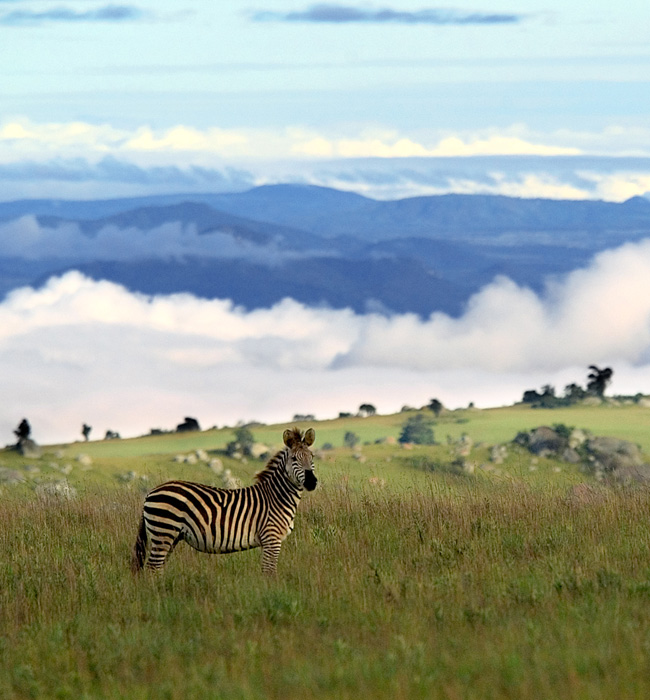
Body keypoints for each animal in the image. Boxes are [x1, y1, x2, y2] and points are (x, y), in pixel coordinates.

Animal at [131, 427, 317, 575]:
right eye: (294, 459)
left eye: (312, 457)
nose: (311, 482)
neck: (277, 496)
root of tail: (151, 492)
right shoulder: (271, 538)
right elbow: (269, 572)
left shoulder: (268, 541)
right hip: (164, 531)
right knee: (153, 568)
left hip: (170, 536)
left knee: (157, 567)